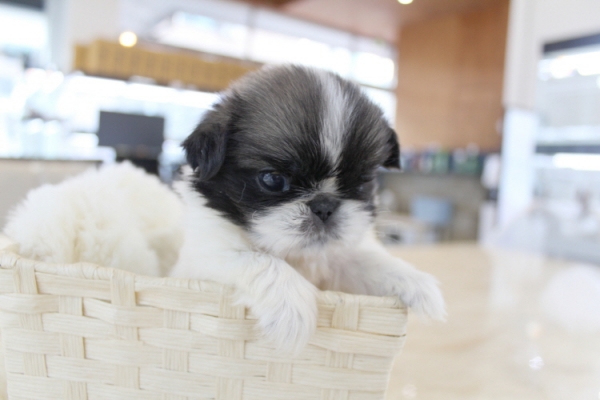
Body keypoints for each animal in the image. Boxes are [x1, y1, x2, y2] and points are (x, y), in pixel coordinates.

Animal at [170, 65, 446, 354]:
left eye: (360, 183)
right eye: (274, 180)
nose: (324, 205)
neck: (296, 255)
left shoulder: (338, 260)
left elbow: (369, 260)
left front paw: (414, 282)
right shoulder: (206, 258)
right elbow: (260, 260)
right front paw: (292, 309)